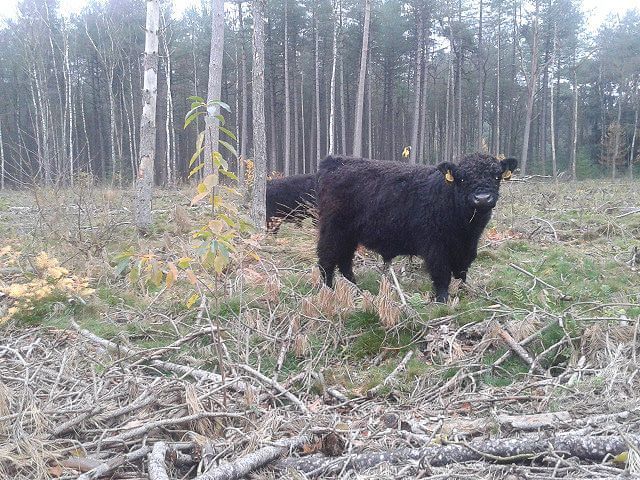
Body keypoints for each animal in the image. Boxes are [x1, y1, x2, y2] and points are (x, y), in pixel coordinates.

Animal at [318, 154, 516, 302]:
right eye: (462, 178)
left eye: (497, 176)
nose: (482, 198)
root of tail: (335, 161)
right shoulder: (435, 247)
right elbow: (441, 273)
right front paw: (442, 300)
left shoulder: (467, 248)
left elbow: (462, 272)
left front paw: (462, 291)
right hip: (333, 230)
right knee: (326, 259)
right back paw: (329, 290)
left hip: (349, 235)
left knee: (344, 260)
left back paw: (355, 287)